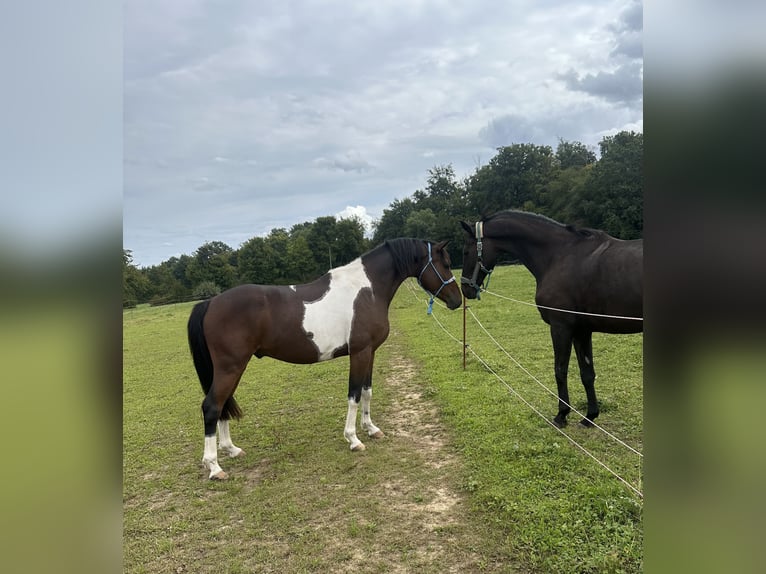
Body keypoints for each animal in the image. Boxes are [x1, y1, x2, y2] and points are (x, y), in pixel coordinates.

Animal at [188, 238, 462, 479]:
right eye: (446, 264)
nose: (457, 300)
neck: (367, 288)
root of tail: (210, 302)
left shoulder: (371, 352)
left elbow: (367, 392)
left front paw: (371, 429)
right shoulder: (360, 352)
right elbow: (354, 395)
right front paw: (353, 439)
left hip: (233, 369)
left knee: (222, 405)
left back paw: (232, 450)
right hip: (230, 367)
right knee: (211, 407)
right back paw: (214, 467)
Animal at [460, 210, 642, 428]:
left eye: (466, 251)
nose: (465, 288)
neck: (559, 255)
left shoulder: (561, 327)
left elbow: (560, 370)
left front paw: (562, 415)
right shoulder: (582, 330)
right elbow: (587, 374)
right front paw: (590, 416)